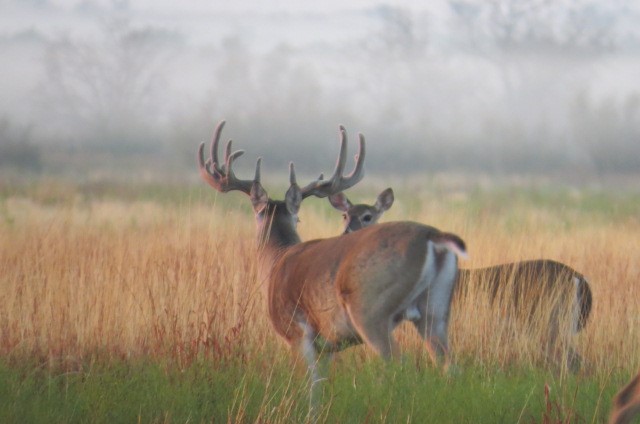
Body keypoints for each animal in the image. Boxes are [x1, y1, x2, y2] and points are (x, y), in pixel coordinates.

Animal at [198, 121, 468, 412]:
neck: (276, 263)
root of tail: (432, 235)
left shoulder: (296, 332)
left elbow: (309, 388)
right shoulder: (325, 347)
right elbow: (320, 388)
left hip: (371, 309)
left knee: (399, 363)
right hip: (435, 310)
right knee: (449, 366)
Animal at [330, 187, 596, 370]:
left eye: (368, 216)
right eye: (345, 215)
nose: (347, 232)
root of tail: (579, 278)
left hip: (550, 320)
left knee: (575, 362)